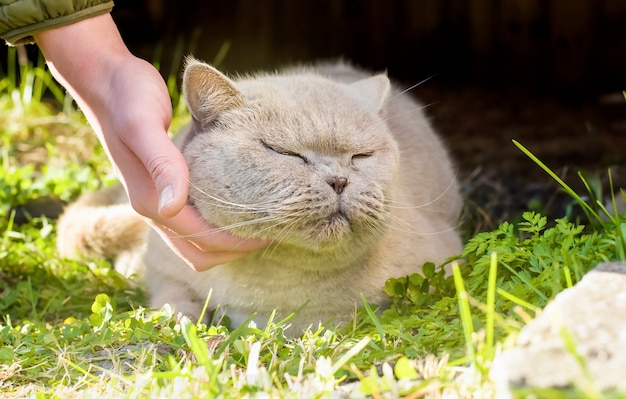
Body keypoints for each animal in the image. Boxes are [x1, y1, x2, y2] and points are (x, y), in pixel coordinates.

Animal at [56, 57, 460, 334]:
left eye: (360, 157)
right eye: (286, 153)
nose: (339, 180)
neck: (274, 287)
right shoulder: (164, 268)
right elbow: (175, 300)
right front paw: (185, 323)